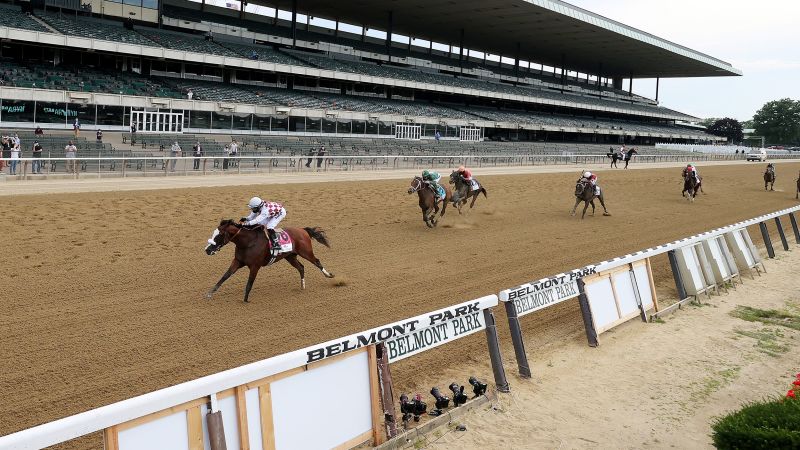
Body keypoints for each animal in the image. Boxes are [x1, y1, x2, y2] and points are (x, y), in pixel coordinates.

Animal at [206, 219, 334, 302]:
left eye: (219, 235)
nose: (207, 250)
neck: (248, 242)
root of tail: (303, 230)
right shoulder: (238, 261)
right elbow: (225, 276)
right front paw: (209, 293)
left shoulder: (255, 266)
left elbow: (249, 283)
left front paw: (245, 300)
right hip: (290, 256)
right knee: (301, 267)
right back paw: (302, 285)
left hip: (306, 252)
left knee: (317, 261)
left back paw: (329, 275)